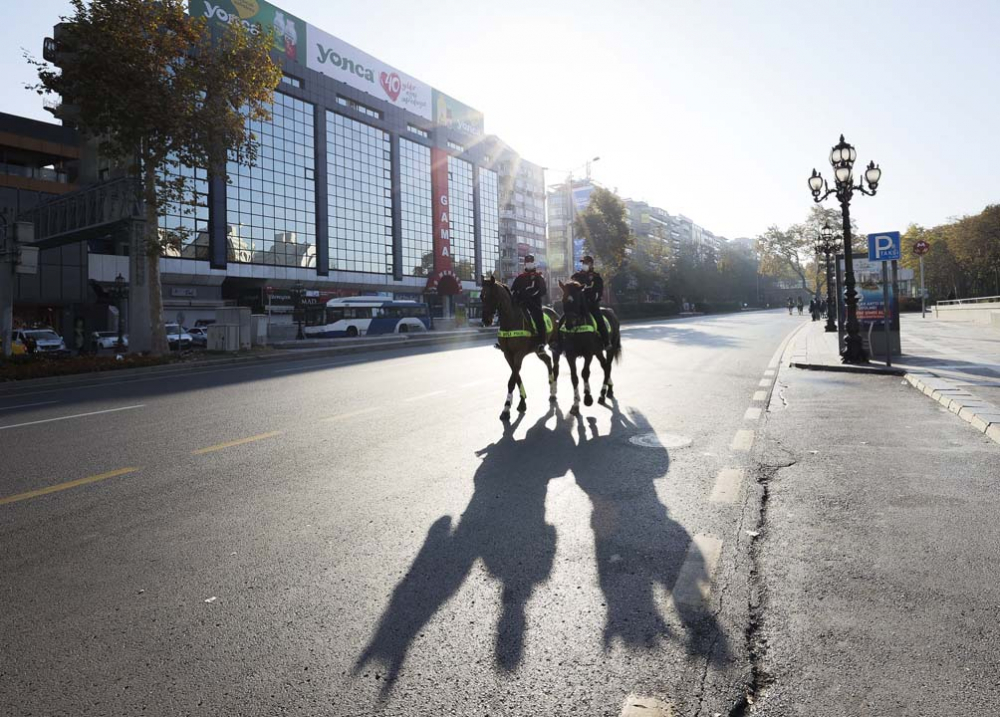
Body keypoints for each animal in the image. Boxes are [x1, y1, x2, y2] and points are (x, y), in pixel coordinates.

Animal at [478, 274, 560, 420]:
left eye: (492, 296)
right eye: (481, 296)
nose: (486, 320)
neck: (510, 320)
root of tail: (553, 311)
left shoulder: (519, 354)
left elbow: (512, 380)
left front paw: (506, 408)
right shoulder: (508, 355)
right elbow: (517, 377)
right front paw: (522, 402)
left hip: (554, 344)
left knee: (555, 364)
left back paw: (554, 390)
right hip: (538, 350)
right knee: (547, 361)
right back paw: (551, 389)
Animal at [556, 278, 616, 414]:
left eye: (577, 300)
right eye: (563, 300)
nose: (569, 324)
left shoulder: (588, 353)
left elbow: (585, 373)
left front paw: (588, 398)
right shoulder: (570, 355)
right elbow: (574, 377)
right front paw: (575, 403)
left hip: (610, 349)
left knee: (608, 367)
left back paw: (603, 393)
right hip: (598, 351)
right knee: (605, 366)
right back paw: (607, 390)